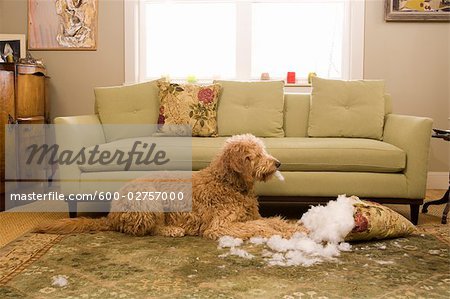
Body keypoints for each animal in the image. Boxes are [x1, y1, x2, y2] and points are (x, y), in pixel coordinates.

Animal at [33, 135, 304, 240]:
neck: (229, 183)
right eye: (254, 155)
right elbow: (261, 227)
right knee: (145, 230)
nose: (278, 163)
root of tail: (112, 215)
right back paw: (172, 230)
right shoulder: (221, 225)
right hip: (149, 198)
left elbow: (273, 220)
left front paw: (296, 227)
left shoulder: (252, 215)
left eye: (263, 151)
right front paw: (283, 233)